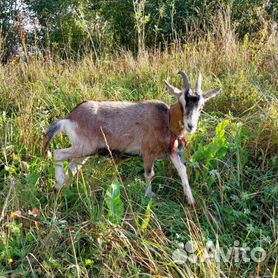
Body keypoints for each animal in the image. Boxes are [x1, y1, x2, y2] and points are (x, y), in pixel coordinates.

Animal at [43, 71, 222, 206]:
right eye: (182, 102)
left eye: (201, 106)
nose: (191, 126)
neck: (166, 119)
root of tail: (69, 118)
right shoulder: (148, 153)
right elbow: (149, 174)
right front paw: (148, 196)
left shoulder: (172, 152)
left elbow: (182, 170)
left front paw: (191, 201)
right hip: (83, 148)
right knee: (58, 153)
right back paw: (58, 186)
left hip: (83, 153)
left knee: (72, 168)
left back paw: (61, 189)